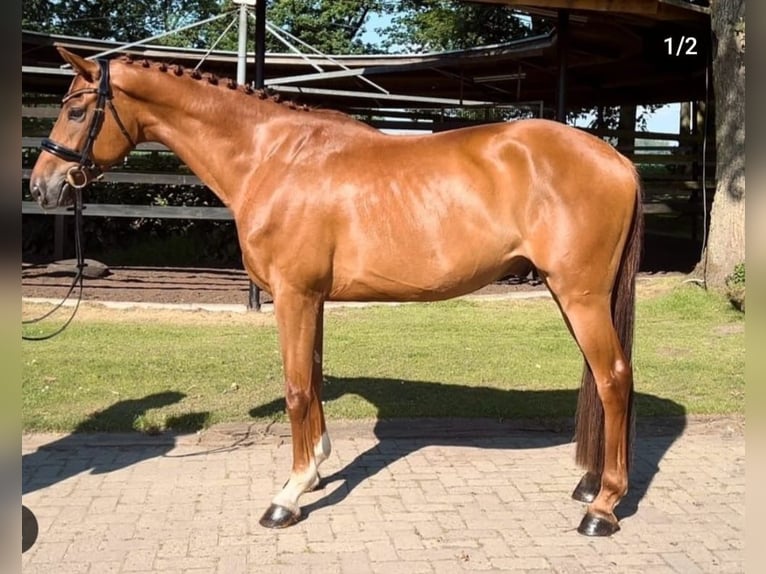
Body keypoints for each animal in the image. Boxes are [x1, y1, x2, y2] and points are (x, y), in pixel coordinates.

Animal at [30, 47, 640, 536]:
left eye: (77, 110)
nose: (42, 186)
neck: (273, 157)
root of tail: (618, 160)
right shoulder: (313, 299)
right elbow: (316, 381)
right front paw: (319, 467)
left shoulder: (294, 296)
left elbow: (298, 389)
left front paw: (289, 494)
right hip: (573, 295)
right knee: (599, 380)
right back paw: (589, 485)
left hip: (581, 295)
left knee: (613, 379)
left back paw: (603, 507)